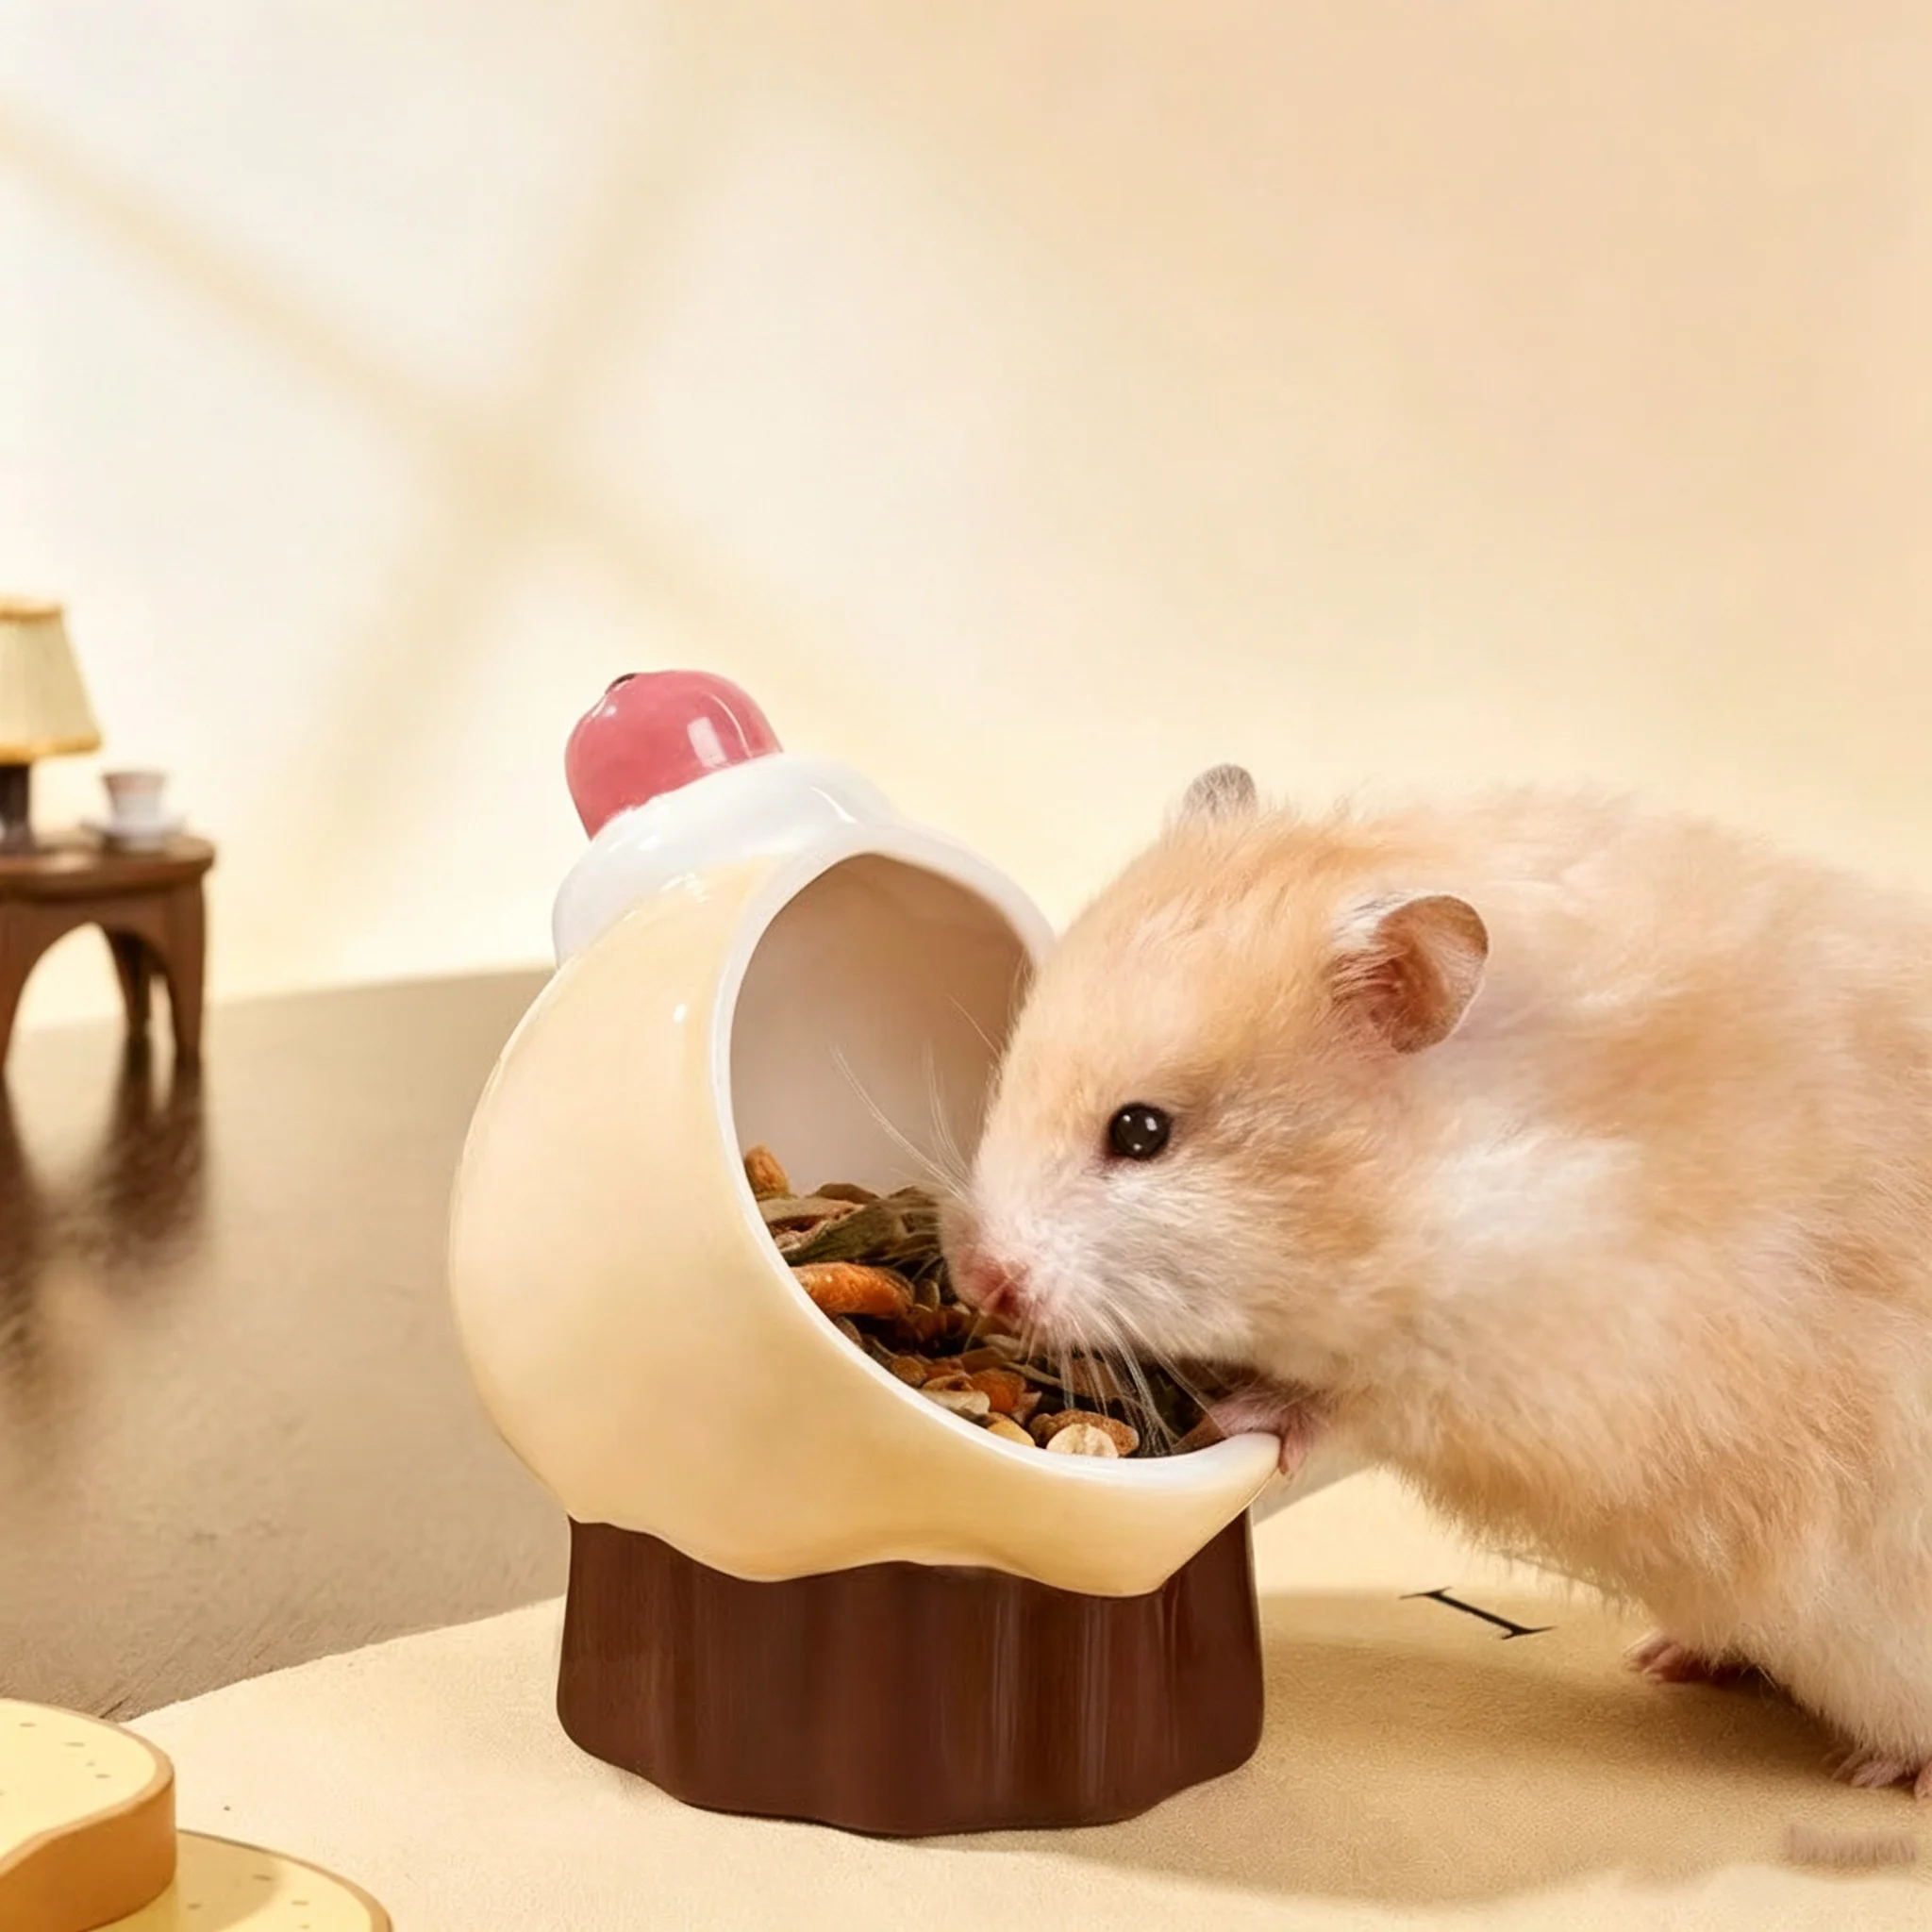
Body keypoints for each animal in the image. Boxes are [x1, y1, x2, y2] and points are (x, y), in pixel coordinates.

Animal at [946, 768, 1932, 1797]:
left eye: (1141, 1131)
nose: (978, 1276)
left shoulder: (1541, 1383)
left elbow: (1347, 1415)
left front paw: (1239, 1416)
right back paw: (1670, 1658)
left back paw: (1888, 1770)